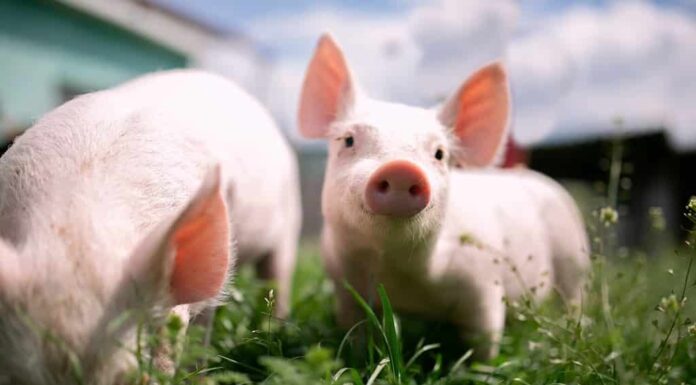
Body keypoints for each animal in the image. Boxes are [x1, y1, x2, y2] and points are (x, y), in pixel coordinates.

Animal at [296, 34, 588, 358]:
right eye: (348, 140)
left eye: (439, 153)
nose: (401, 168)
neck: (399, 276)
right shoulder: (345, 288)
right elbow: (356, 333)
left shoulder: (484, 287)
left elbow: (484, 343)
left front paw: (479, 366)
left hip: (574, 258)